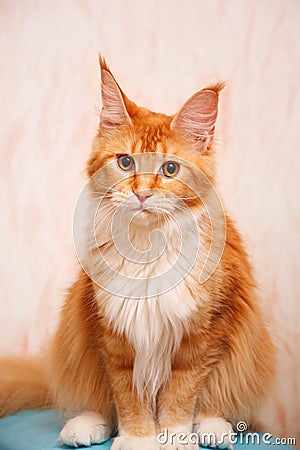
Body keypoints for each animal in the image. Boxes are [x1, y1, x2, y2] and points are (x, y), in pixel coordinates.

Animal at [0, 57, 274, 450]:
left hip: (244, 346)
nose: (142, 193)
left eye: (170, 169)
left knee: (220, 402)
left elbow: (181, 395)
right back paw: (83, 427)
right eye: (126, 163)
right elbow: (127, 396)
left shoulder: (201, 336)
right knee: (91, 397)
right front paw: (137, 438)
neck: (148, 247)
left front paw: (174, 437)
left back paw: (214, 430)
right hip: (75, 325)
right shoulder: (114, 336)